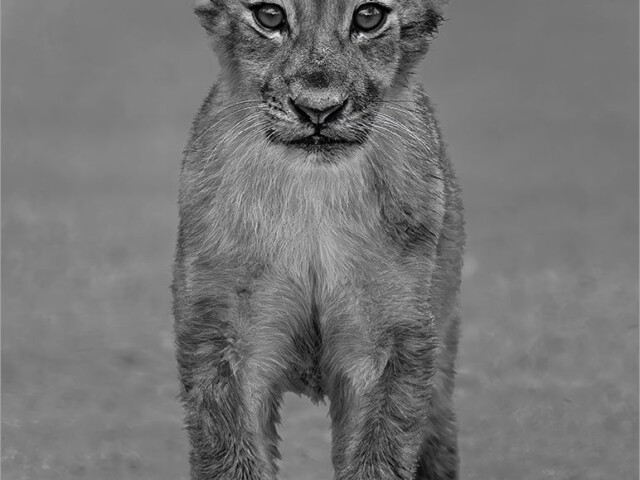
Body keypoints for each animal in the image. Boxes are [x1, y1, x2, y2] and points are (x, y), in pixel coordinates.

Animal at [172, 1, 464, 479]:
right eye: (269, 16)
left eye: (369, 17)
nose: (318, 111)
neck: (312, 195)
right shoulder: (223, 335)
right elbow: (230, 455)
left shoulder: (389, 340)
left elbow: (379, 456)